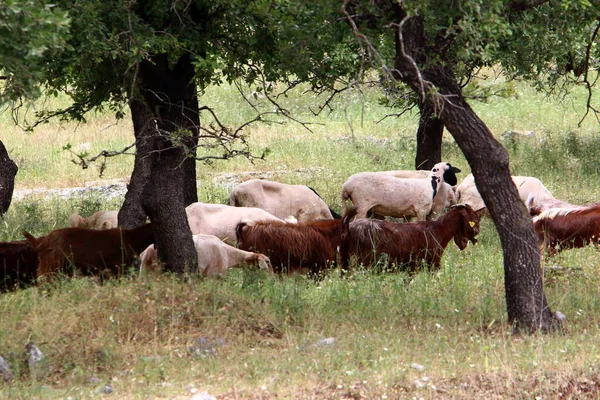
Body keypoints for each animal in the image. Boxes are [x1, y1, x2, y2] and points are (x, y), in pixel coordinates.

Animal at [139, 234, 274, 278]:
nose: (273, 278)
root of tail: (146, 252)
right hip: (153, 270)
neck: (228, 254)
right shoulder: (213, 274)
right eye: (268, 262)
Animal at [340, 205, 480, 274]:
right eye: (474, 218)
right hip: (363, 261)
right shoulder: (432, 264)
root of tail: (349, 228)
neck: (439, 230)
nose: (477, 232)